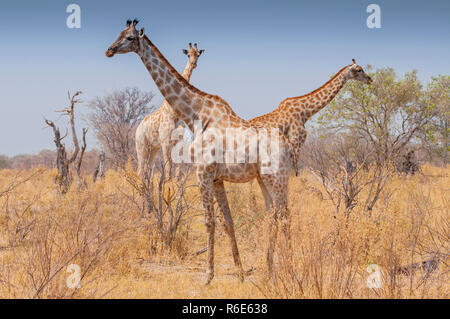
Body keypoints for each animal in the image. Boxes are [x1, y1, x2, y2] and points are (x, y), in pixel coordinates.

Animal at [134, 42, 204, 180]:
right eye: (188, 54)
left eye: (198, 54)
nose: (194, 64)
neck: (173, 112)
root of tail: (137, 129)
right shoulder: (165, 141)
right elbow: (168, 167)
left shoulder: (178, 142)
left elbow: (178, 170)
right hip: (142, 146)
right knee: (140, 170)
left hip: (153, 149)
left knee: (146, 170)